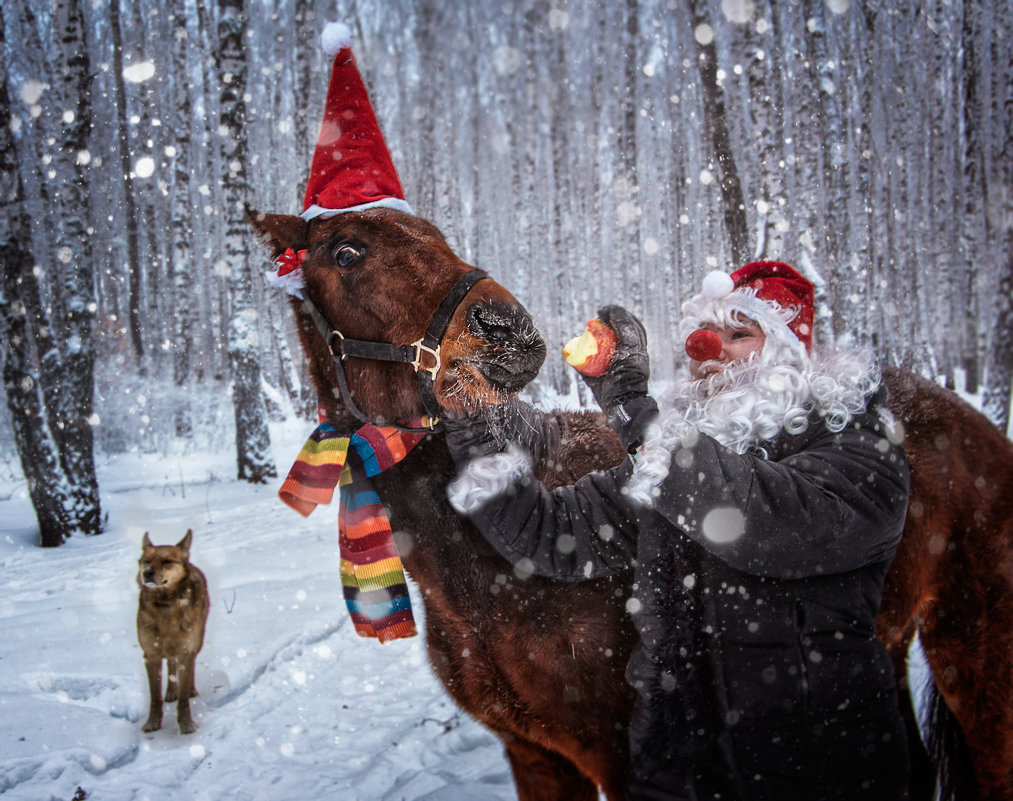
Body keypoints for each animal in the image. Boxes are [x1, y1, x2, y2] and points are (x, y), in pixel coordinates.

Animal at [135, 530, 208, 737]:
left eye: (167, 561)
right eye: (146, 561)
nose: (147, 573)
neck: (165, 603)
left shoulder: (185, 650)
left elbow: (183, 696)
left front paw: (186, 723)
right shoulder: (151, 654)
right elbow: (154, 695)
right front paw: (152, 722)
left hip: (197, 640)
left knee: (190, 665)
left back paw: (190, 689)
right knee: (171, 664)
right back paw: (170, 692)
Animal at [247, 208, 1013, 801]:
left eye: (436, 235)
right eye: (347, 252)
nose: (506, 327)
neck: (486, 579)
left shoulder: (619, 752)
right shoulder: (535, 757)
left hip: (973, 649)